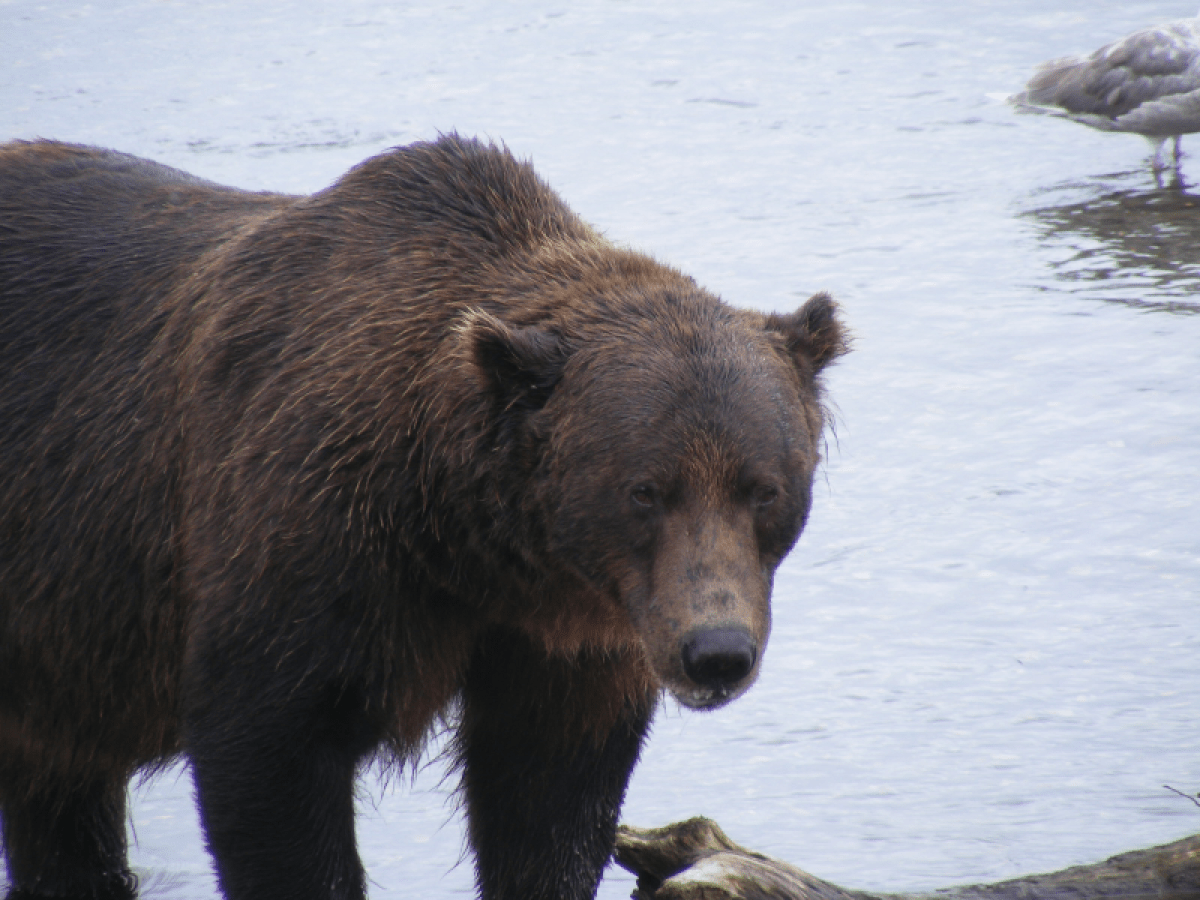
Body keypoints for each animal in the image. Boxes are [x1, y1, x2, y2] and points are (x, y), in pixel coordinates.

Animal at [0, 135, 848, 900]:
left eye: (762, 488)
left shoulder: (565, 639)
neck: (466, 541)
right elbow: (269, 768)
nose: (716, 652)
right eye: (645, 490)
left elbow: (551, 804)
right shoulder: (304, 545)